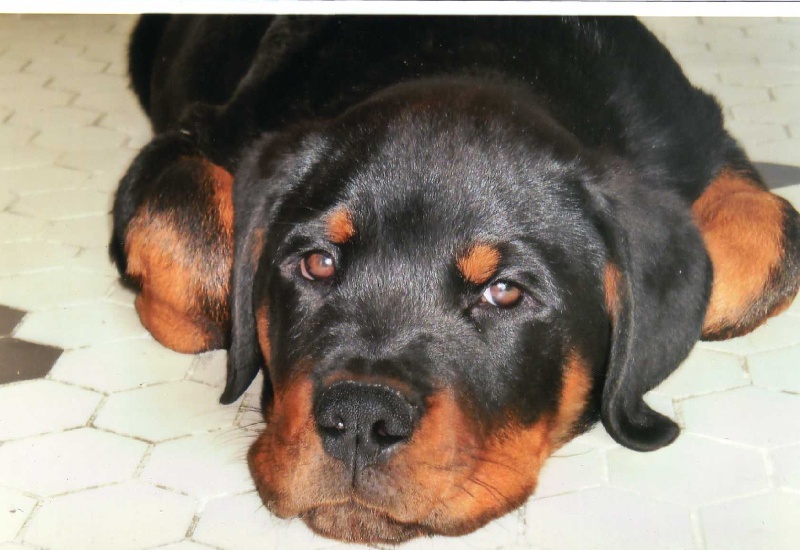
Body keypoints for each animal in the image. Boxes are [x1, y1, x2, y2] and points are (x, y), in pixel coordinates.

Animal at [111, 15, 800, 544]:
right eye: (318, 263)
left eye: (505, 291)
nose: (361, 417)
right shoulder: (200, 135)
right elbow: (195, 247)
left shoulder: (699, 135)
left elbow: (762, 244)